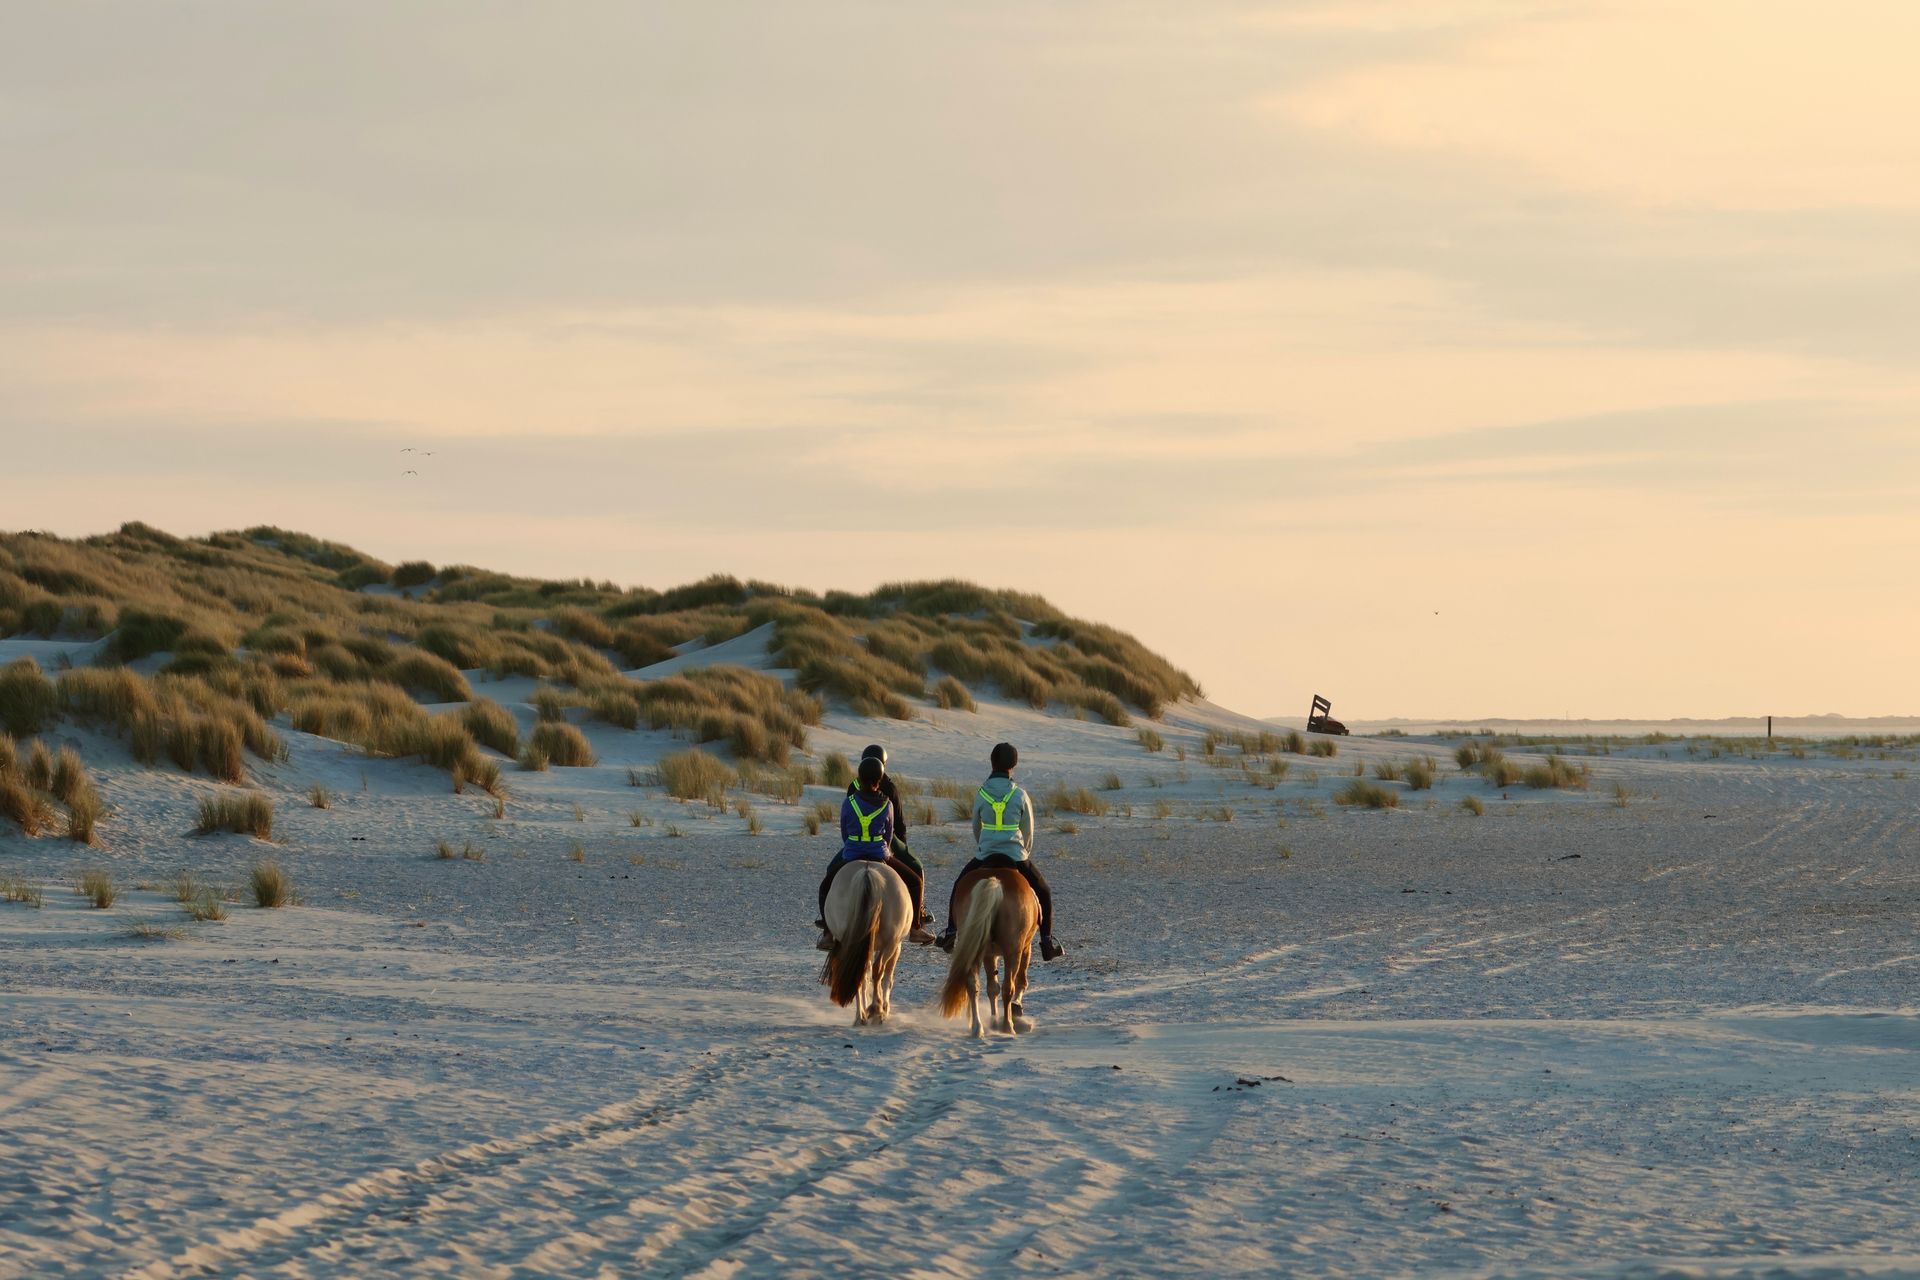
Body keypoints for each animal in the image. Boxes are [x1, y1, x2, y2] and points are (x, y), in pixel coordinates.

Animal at [820, 859, 912, 1025]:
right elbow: (887, 977)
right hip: (891, 942)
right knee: (878, 970)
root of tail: (867, 872)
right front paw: (884, 1008)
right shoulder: (897, 945)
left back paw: (860, 1016)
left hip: (851, 943)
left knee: (859, 974)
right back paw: (876, 1009)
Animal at [938, 867, 1039, 1037]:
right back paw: (1008, 1026)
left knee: (973, 985)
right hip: (1013, 951)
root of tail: (994, 881)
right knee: (1008, 987)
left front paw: (993, 1020)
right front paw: (1014, 1009)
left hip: (976, 947)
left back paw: (977, 1028)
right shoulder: (1025, 948)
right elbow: (1019, 981)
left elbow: (992, 988)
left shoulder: (988, 954)